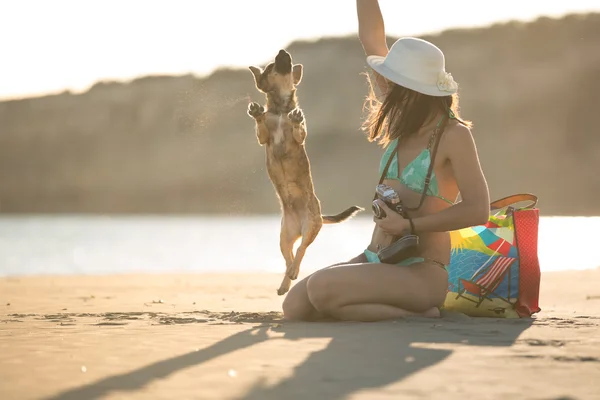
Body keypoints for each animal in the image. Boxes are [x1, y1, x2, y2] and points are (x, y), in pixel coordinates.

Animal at [247, 49, 364, 294]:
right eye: (272, 65)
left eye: (279, 62)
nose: (283, 51)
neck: (281, 110)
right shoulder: (264, 138)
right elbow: (262, 128)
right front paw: (258, 113)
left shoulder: (299, 138)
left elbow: (298, 131)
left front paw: (295, 120)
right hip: (284, 237)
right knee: (289, 255)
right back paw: (286, 280)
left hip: (310, 227)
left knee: (301, 250)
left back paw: (293, 272)